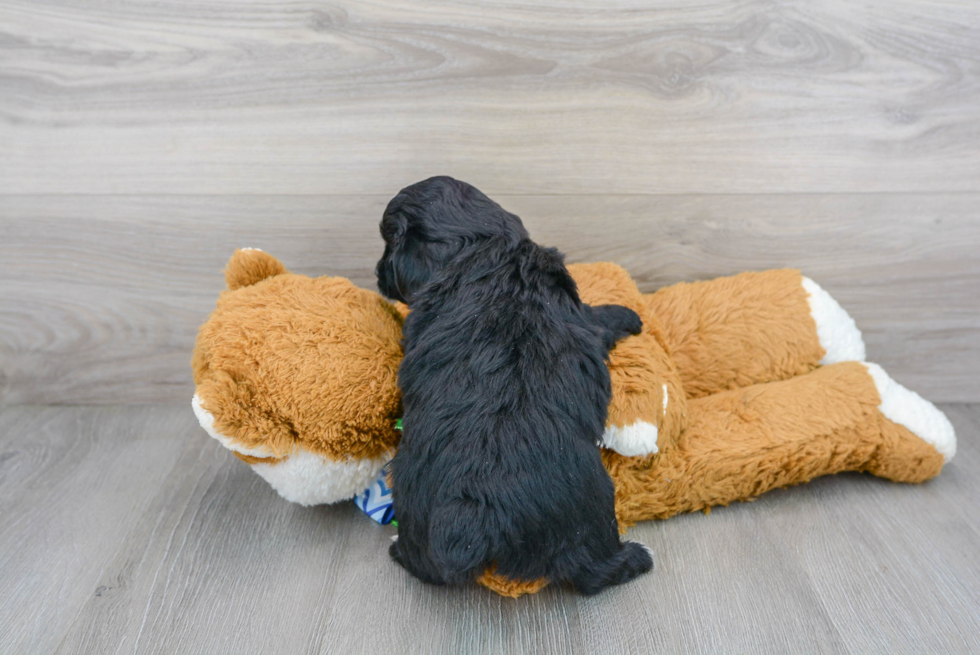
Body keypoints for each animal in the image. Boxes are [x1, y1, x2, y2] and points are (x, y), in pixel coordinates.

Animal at [376, 177, 652, 596]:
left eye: (388, 243)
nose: (376, 273)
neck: (480, 244)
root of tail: (472, 511)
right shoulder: (581, 314)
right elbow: (598, 318)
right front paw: (628, 315)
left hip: (412, 501)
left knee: (423, 563)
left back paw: (397, 549)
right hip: (591, 506)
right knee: (594, 571)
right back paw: (637, 558)